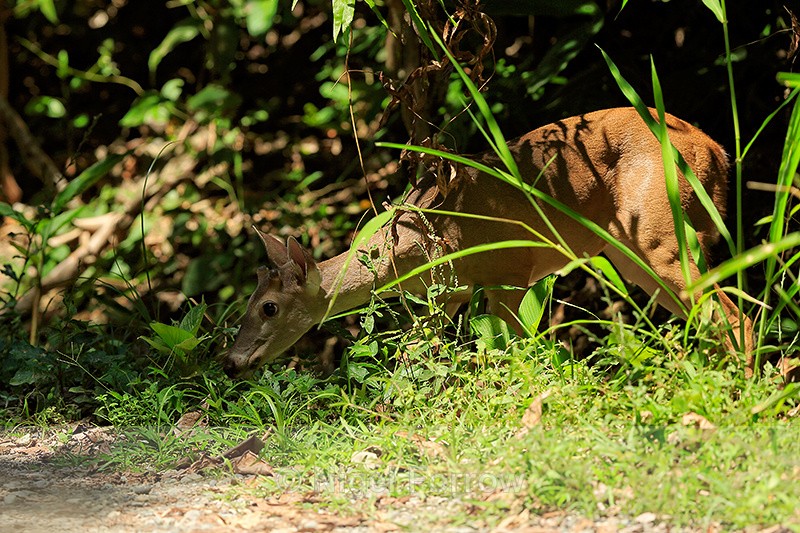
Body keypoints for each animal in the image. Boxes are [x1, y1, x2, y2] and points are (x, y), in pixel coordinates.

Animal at [222, 107, 753, 379]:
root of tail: (717, 154)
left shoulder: (508, 271)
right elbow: (417, 352)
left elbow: (514, 349)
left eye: (269, 307)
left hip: (658, 233)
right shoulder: (448, 293)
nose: (231, 362)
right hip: (630, 252)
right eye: (246, 302)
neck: (413, 245)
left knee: (732, 315)